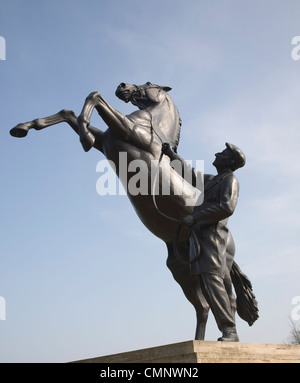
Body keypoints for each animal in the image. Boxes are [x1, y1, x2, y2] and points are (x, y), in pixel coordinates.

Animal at [9, 82, 258, 340]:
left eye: (149, 84)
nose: (122, 87)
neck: (153, 125)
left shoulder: (127, 132)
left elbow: (95, 98)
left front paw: (84, 137)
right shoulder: (106, 142)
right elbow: (69, 113)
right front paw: (23, 127)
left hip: (219, 264)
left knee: (226, 298)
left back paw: (227, 337)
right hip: (183, 269)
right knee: (204, 305)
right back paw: (199, 341)